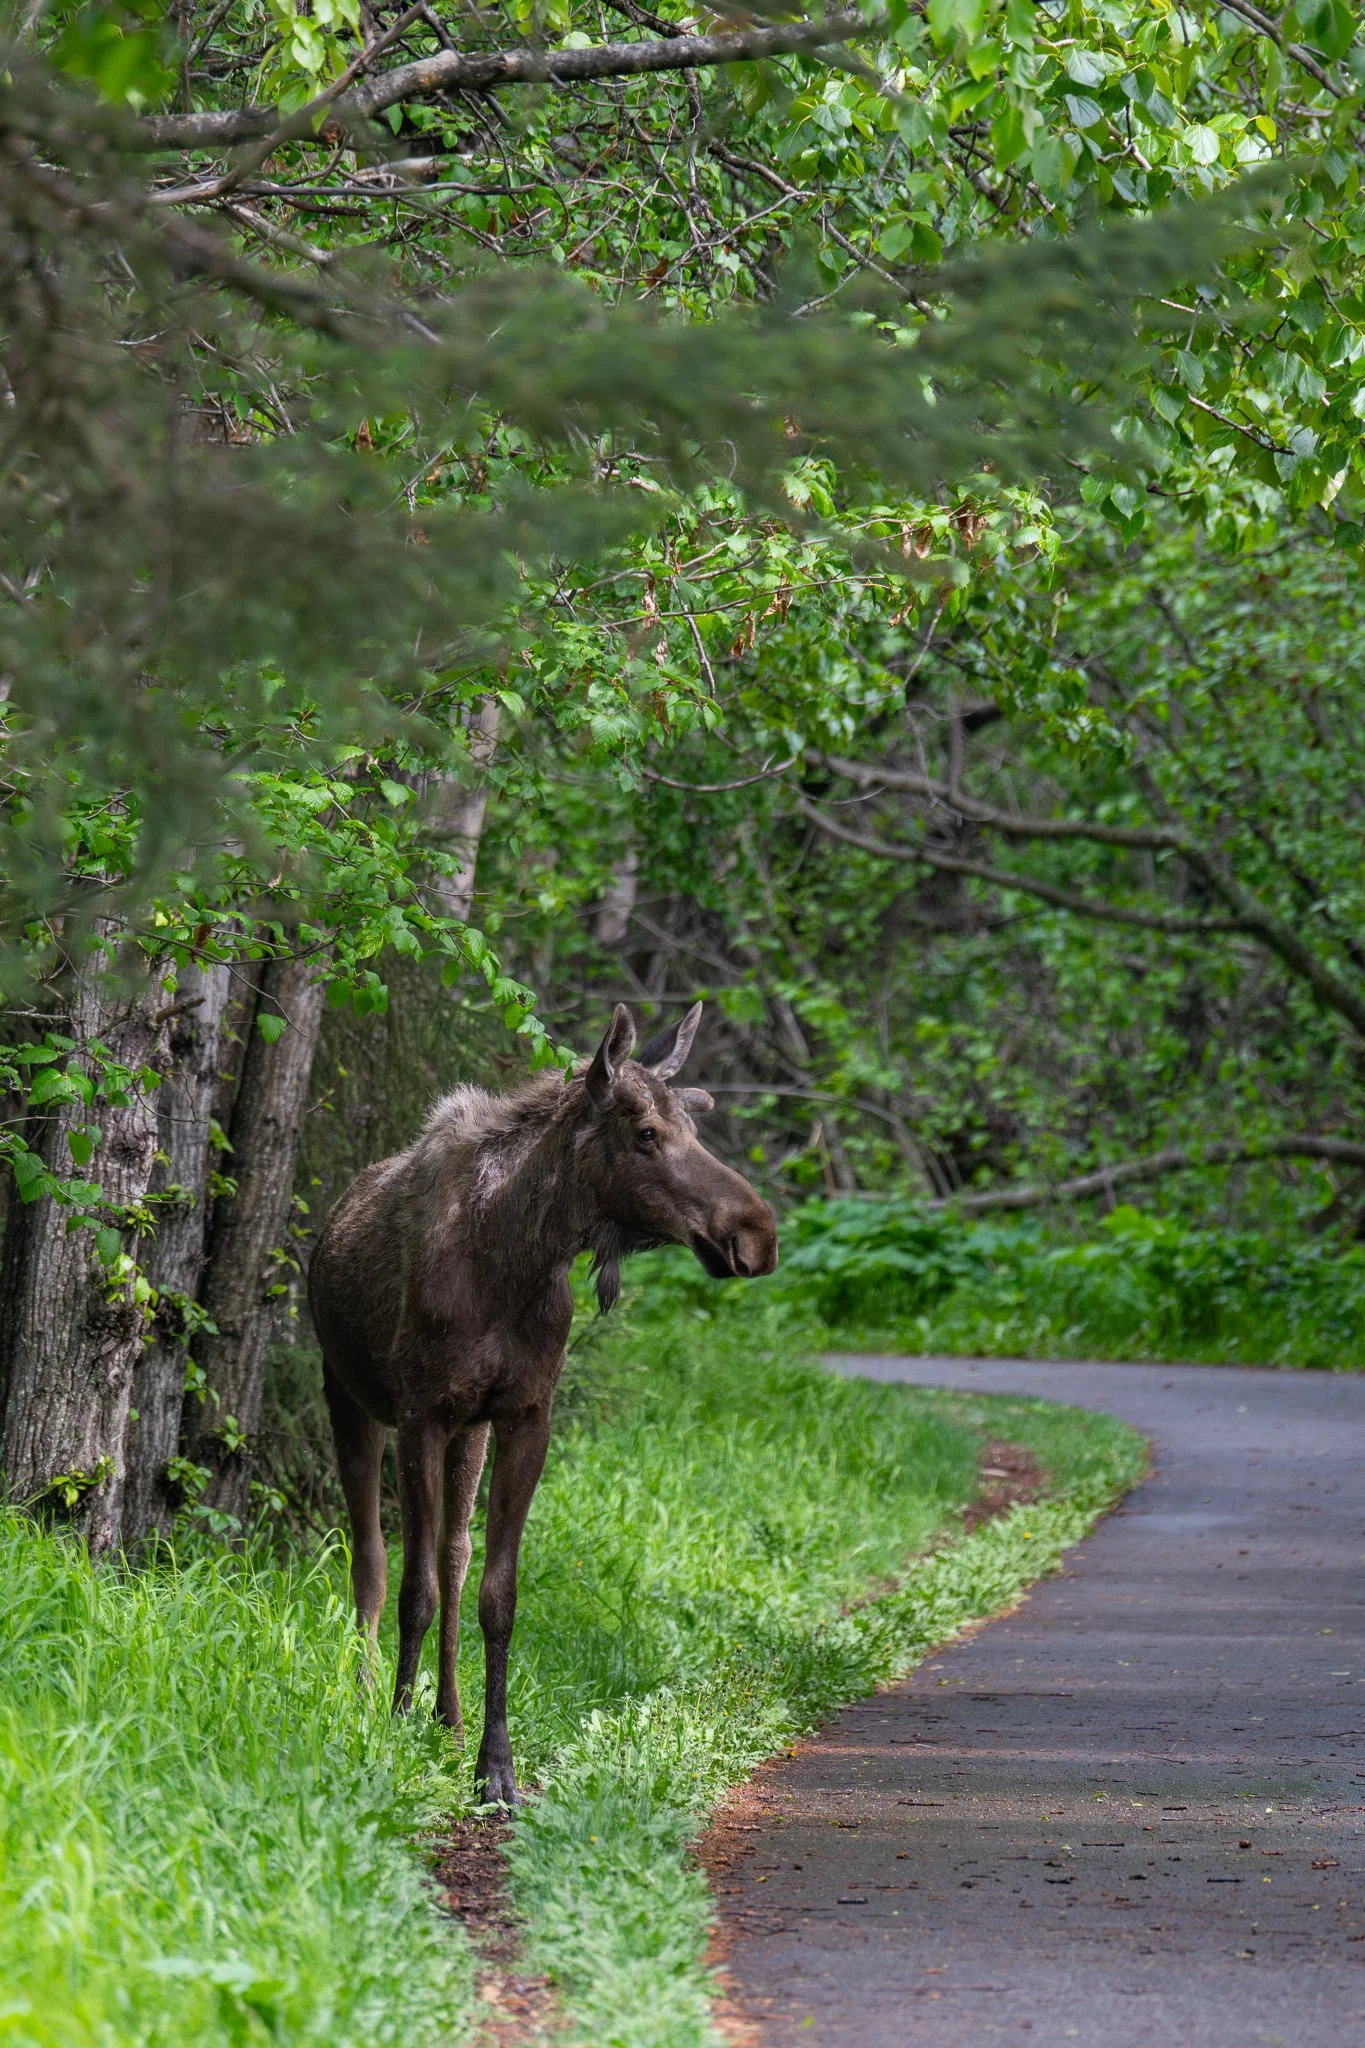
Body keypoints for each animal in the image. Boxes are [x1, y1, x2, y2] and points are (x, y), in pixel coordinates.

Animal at [307, 1001, 778, 1804]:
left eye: (695, 1122)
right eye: (644, 1131)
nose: (756, 1233)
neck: (516, 1258)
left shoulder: (524, 1414)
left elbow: (495, 1594)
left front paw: (493, 1763)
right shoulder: (420, 1413)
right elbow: (410, 1588)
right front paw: (397, 1726)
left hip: (468, 1432)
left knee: (454, 1555)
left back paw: (447, 1716)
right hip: (348, 1395)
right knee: (371, 1561)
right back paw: (375, 1700)